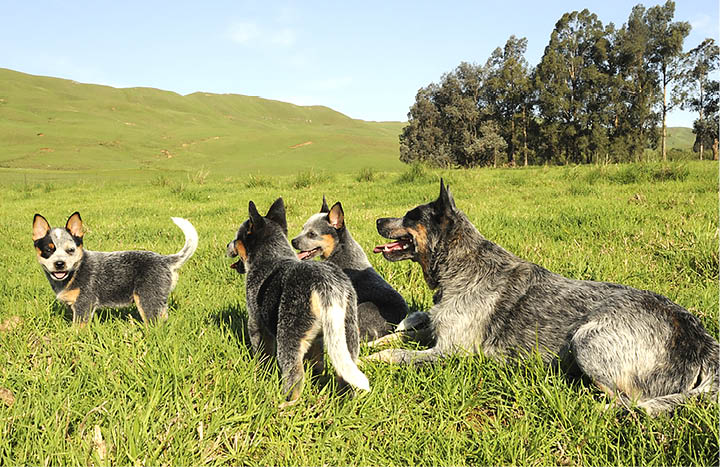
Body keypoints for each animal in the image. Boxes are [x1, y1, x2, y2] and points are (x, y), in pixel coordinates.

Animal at [33, 212, 197, 326]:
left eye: (70, 250)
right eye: (48, 250)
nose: (59, 263)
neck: (75, 271)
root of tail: (165, 260)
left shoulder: (84, 304)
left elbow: (78, 327)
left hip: (147, 299)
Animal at [226, 197, 372, 406]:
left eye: (237, 238)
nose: (227, 245)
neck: (272, 255)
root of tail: (325, 284)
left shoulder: (255, 322)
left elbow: (262, 354)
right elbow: (317, 364)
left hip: (289, 335)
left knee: (294, 376)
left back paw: (284, 403)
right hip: (347, 334)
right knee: (346, 375)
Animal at [368, 180, 716, 416]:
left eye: (410, 217)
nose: (377, 221)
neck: (462, 264)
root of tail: (700, 339)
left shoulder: (452, 351)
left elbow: (398, 354)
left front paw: (373, 359)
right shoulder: (436, 330)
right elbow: (400, 335)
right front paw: (375, 343)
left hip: (587, 339)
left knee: (629, 400)